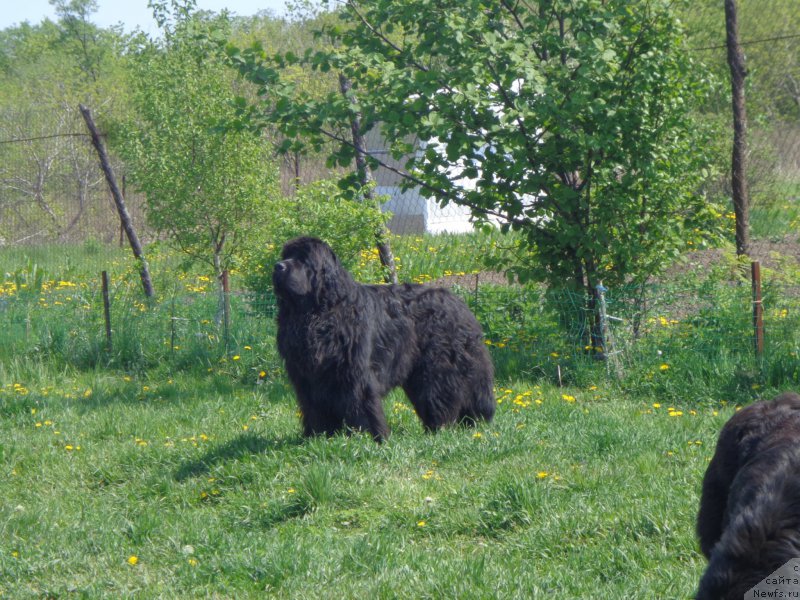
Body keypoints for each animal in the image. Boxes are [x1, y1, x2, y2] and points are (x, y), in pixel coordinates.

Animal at [272, 237, 494, 442]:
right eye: (286, 256)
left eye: (303, 260)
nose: (278, 266)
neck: (317, 314)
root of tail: (459, 303)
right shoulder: (308, 377)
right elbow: (314, 406)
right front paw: (319, 435)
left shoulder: (354, 371)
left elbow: (360, 402)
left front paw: (370, 436)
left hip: (436, 366)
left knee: (440, 394)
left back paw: (438, 428)